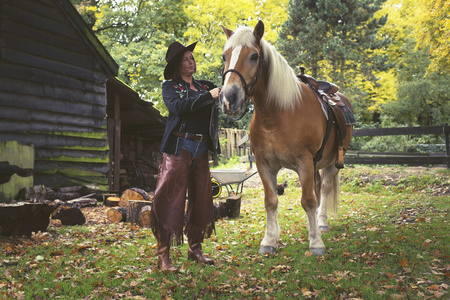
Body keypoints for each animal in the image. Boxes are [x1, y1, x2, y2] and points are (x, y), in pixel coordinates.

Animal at [220, 21, 354, 255]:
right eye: (224, 56)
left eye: (254, 56)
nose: (229, 98)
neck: (276, 116)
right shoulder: (265, 166)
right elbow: (271, 201)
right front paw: (269, 241)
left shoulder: (304, 163)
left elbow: (308, 201)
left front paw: (316, 243)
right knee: (318, 188)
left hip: (331, 163)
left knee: (325, 189)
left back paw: (321, 222)